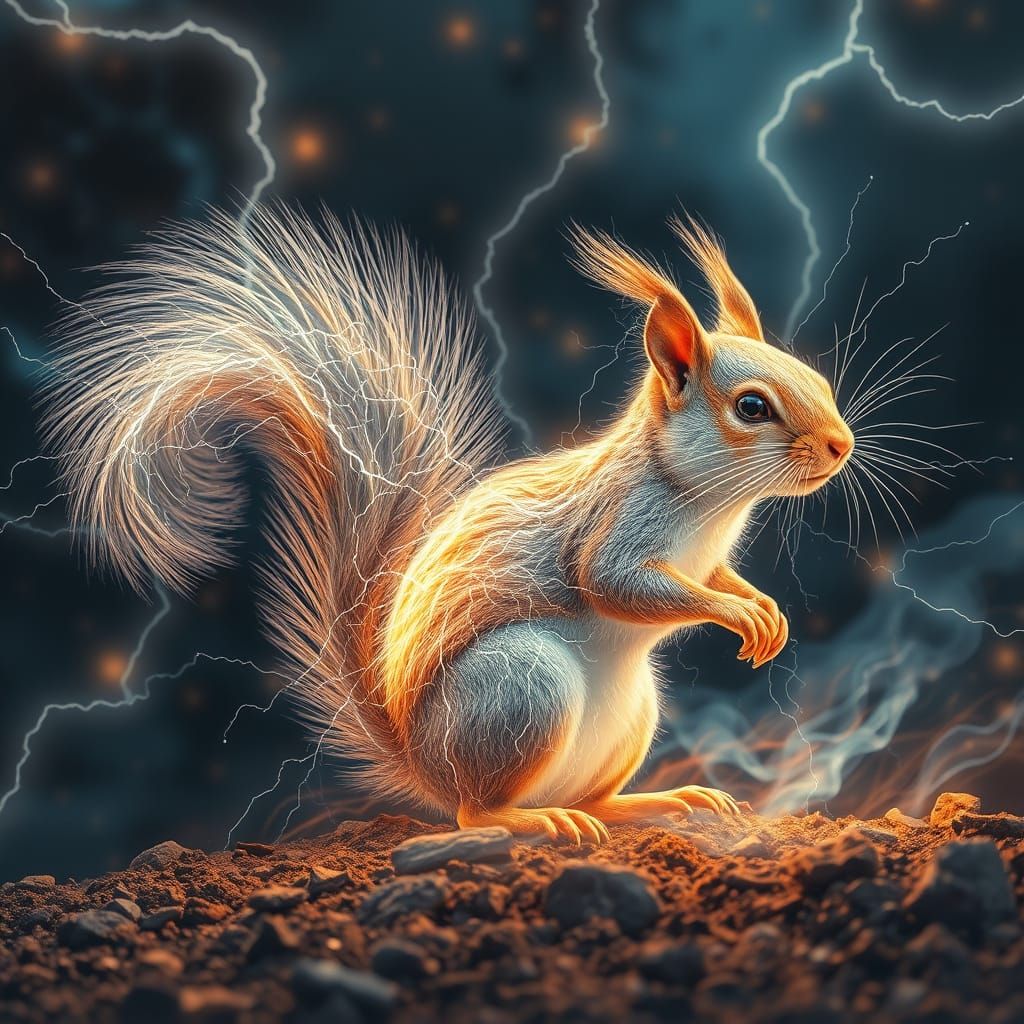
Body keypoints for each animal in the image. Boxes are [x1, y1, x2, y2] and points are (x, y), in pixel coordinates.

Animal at [44, 206, 854, 844]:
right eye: (751, 407)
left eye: (818, 380)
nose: (841, 446)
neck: (707, 500)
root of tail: (426, 764)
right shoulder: (616, 525)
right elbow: (617, 584)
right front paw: (736, 615)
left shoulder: (706, 554)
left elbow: (717, 577)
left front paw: (764, 609)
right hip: (523, 689)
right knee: (474, 813)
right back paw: (530, 818)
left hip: (632, 719)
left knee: (595, 799)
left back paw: (657, 799)